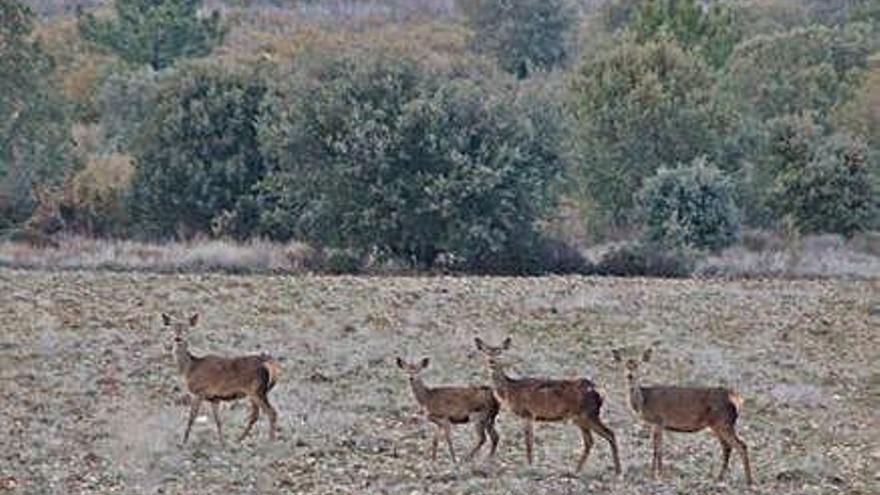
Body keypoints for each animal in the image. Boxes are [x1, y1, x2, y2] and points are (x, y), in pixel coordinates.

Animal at [162, 314, 278, 446]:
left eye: (186, 329)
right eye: (172, 328)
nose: (178, 338)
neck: (190, 368)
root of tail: (268, 364)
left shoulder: (200, 391)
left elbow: (192, 417)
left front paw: (184, 442)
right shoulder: (214, 398)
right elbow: (218, 421)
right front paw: (222, 442)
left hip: (256, 390)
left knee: (271, 412)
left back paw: (270, 441)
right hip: (256, 392)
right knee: (256, 414)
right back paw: (239, 439)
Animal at [470, 338, 624, 476]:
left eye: (499, 352)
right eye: (486, 351)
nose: (491, 361)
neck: (510, 391)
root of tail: (599, 392)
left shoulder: (527, 413)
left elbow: (528, 442)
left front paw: (529, 466)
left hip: (588, 414)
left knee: (609, 434)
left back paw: (617, 471)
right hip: (580, 418)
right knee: (590, 441)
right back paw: (577, 470)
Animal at [612, 346, 756, 486]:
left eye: (638, 364)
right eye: (624, 364)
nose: (630, 375)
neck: (644, 402)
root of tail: (736, 398)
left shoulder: (658, 420)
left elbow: (657, 449)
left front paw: (657, 475)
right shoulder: (657, 424)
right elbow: (657, 448)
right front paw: (656, 473)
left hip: (723, 422)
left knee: (741, 445)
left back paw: (749, 481)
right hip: (718, 424)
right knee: (727, 447)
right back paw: (719, 478)